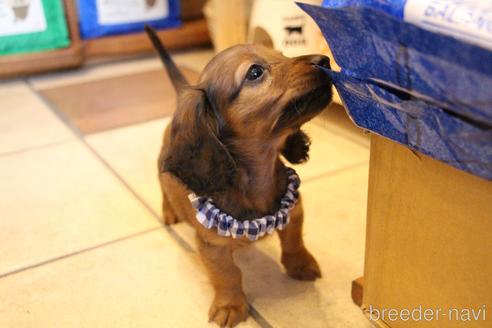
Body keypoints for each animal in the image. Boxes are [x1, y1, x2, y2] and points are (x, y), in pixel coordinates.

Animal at [144, 26, 332, 326]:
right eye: (255, 72)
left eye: (282, 54)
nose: (325, 61)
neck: (258, 176)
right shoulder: (212, 246)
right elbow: (228, 275)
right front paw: (230, 305)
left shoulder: (295, 210)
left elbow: (294, 241)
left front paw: (300, 265)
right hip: (164, 171)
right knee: (164, 187)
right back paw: (170, 211)